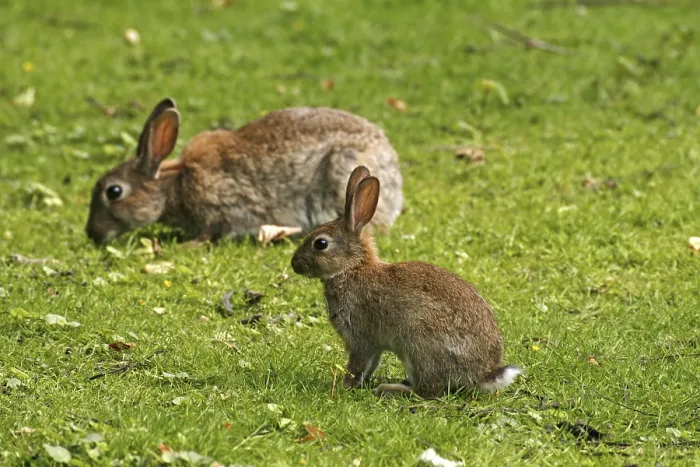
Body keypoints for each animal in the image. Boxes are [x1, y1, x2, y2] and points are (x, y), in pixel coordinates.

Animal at [85, 98, 403, 245]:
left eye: (114, 192)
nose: (92, 233)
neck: (174, 185)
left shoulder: (218, 210)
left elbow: (209, 232)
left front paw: (187, 246)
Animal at [291, 166, 522, 398]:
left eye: (320, 243)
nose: (294, 264)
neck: (351, 268)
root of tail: (482, 375)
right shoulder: (373, 346)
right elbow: (371, 364)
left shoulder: (360, 338)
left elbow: (358, 365)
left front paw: (345, 386)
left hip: (419, 344)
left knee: (429, 391)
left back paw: (391, 389)